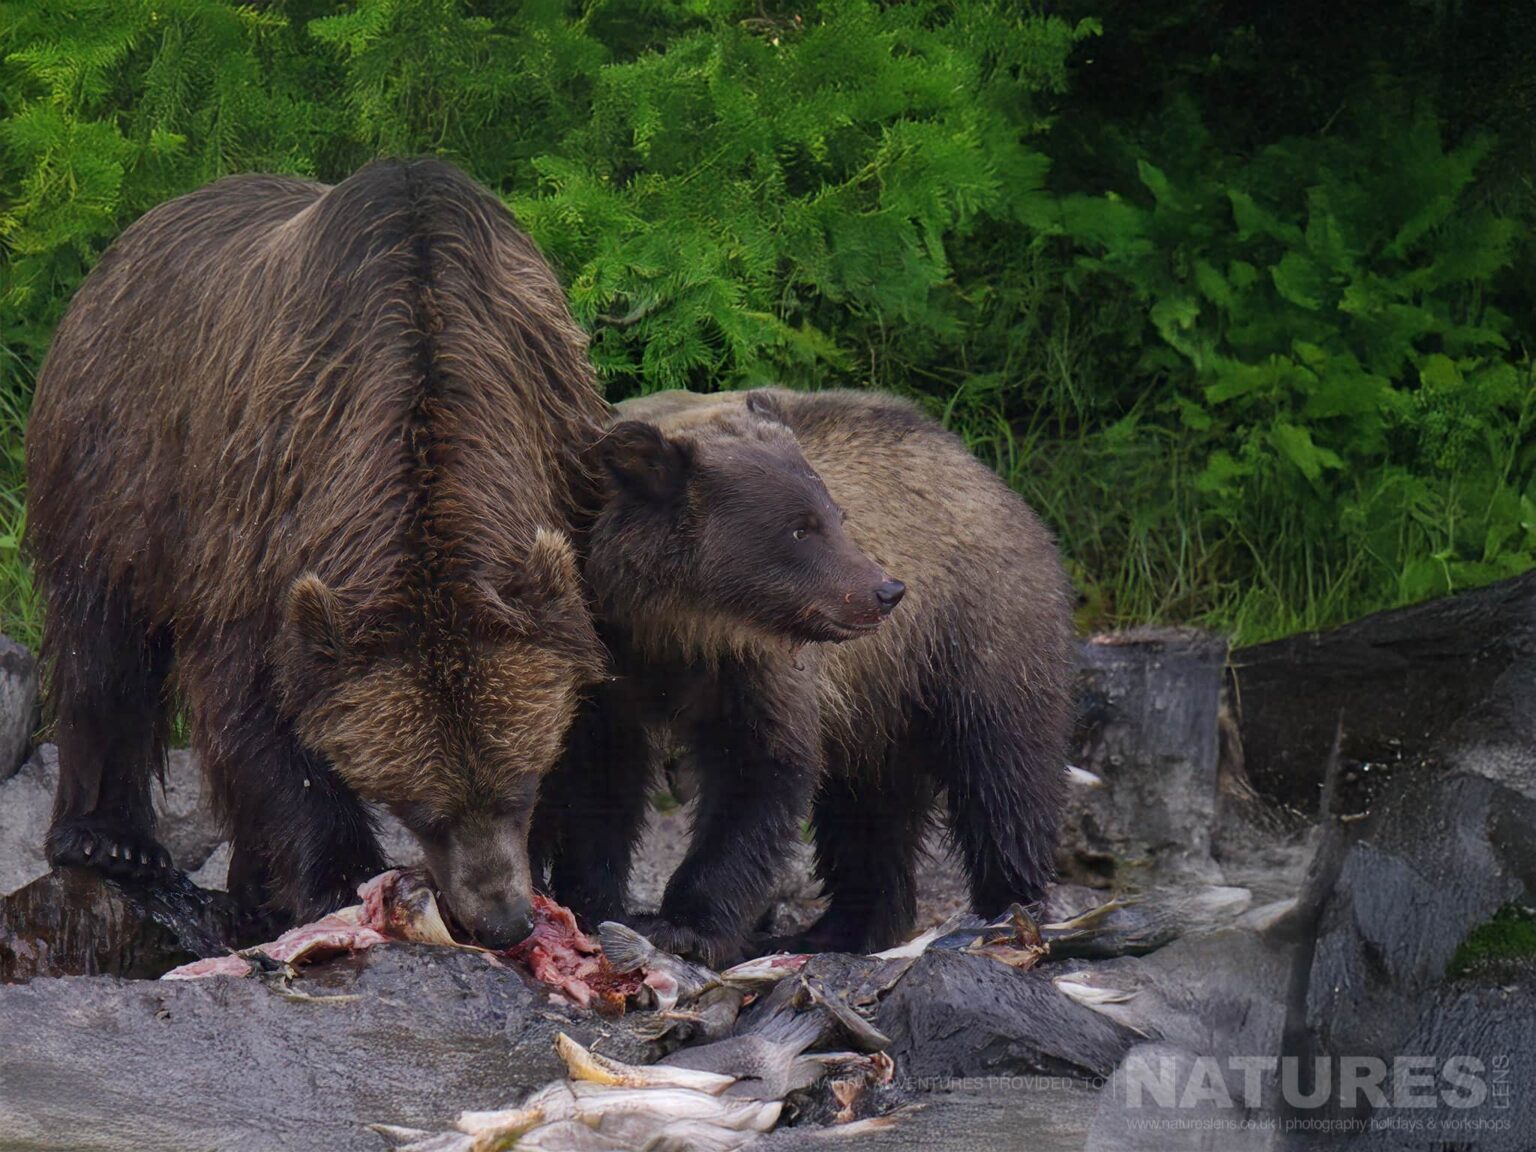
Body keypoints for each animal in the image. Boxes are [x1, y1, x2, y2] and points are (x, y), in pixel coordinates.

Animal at [26, 158, 607, 948]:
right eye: (423, 808)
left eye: (522, 784)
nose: (502, 920)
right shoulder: (267, 521)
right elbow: (260, 712)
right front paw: (337, 879)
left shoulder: (562, 464)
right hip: (114, 454)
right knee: (102, 638)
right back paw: (107, 839)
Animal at [535, 387, 1075, 964]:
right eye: (801, 528)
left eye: (837, 516)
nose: (886, 591)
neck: (676, 626)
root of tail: (986, 474)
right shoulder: (609, 661)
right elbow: (597, 778)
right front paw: (591, 900)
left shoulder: (758, 669)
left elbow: (760, 771)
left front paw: (684, 925)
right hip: (877, 703)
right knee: (867, 813)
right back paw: (843, 927)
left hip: (973, 634)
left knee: (1003, 772)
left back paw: (1008, 904)